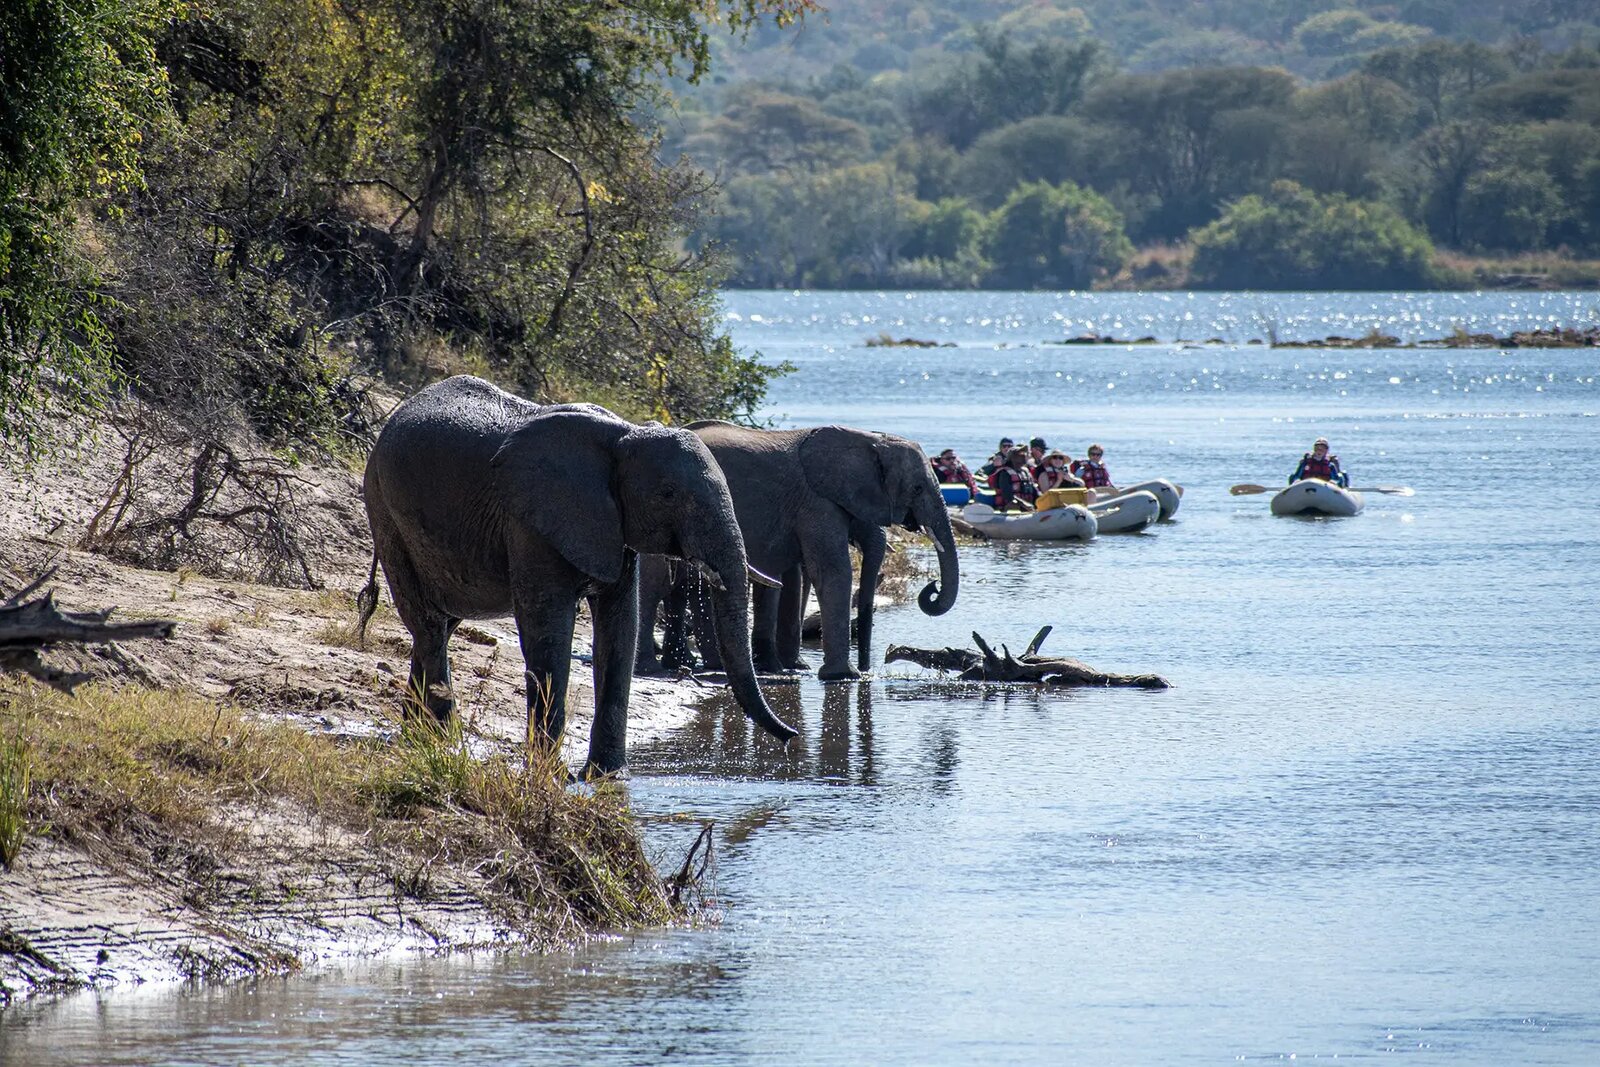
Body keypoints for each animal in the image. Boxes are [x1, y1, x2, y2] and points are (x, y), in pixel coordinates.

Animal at [360, 375, 797, 775]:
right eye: (669, 494)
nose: (791, 737)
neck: (625, 436)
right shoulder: (531, 520)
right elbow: (549, 629)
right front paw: (551, 774)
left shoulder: (614, 525)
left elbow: (619, 629)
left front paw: (608, 776)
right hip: (384, 507)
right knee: (429, 623)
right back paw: (444, 740)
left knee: (442, 623)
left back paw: (418, 736)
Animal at [634, 423, 959, 681]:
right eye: (917, 489)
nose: (931, 589)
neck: (869, 439)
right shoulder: (816, 502)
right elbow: (831, 570)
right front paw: (843, 676)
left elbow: (793, 578)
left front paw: (792, 668)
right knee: (663, 584)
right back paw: (666, 668)